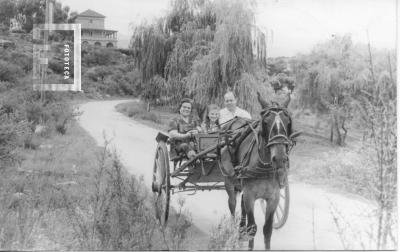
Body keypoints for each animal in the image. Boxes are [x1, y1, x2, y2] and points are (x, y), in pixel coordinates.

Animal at [219, 92, 300, 250]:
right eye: (266, 123)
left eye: (288, 122)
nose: (280, 158)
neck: (265, 166)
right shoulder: (250, 195)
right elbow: (252, 228)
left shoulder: (273, 197)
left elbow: (267, 229)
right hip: (229, 181)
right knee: (232, 203)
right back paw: (232, 231)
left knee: (241, 204)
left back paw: (241, 232)